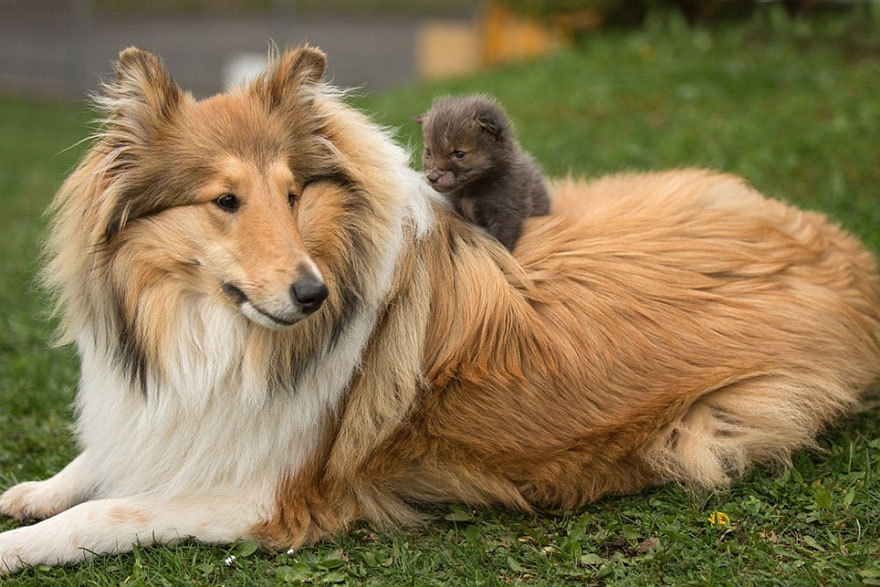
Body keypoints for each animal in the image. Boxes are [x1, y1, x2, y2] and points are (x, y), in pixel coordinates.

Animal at [1, 47, 880, 576]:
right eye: (225, 200)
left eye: (295, 193)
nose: (313, 296)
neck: (211, 328)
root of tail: (845, 251)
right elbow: (101, 462)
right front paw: (33, 489)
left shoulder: (265, 496)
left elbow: (110, 508)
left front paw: (21, 543)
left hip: (712, 427)